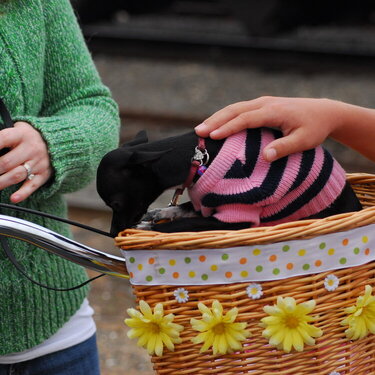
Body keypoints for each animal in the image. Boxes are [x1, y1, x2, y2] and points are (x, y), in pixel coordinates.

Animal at [98, 129, 362, 235]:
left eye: (116, 204)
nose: (113, 232)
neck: (197, 157)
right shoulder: (206, 201)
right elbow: (185, 208)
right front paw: (162, 212)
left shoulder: (236, 218)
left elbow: (180, 225)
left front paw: (149, 227)